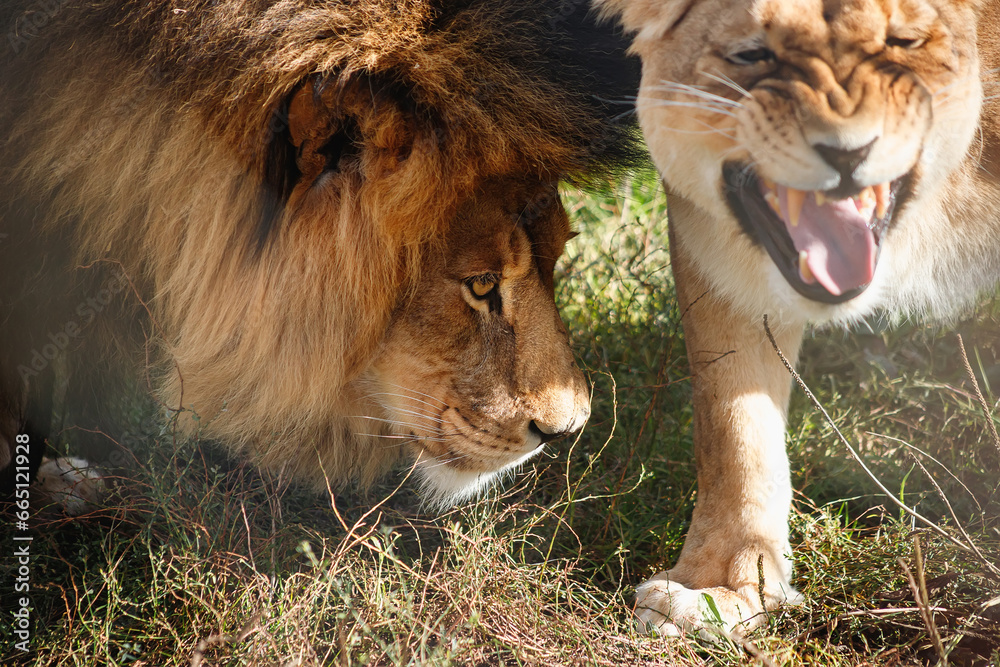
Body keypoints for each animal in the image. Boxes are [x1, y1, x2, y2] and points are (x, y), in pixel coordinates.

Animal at [598, 0, 999, 637]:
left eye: (902, 44)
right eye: (752, 53)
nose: (846, 153)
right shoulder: (721, 249)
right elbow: (733, 423)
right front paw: (719, 589)